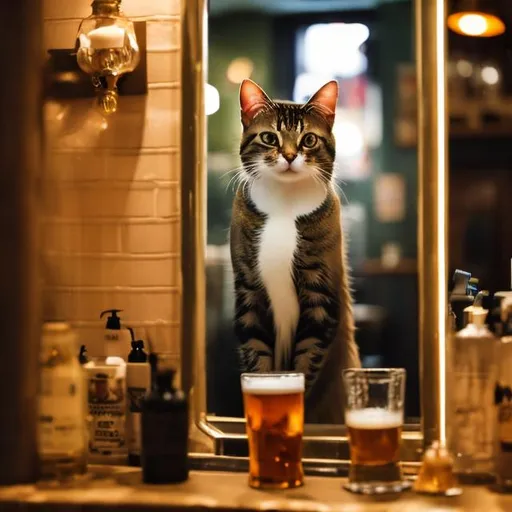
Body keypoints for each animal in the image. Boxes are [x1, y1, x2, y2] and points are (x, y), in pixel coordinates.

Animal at [229, 79, 360, 424]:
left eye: (308, 140)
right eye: (269, 137)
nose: (289, 156)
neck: (284, 206)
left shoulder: (320, 298)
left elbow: (307, 360)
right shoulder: (248, 290)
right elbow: (257, 357)